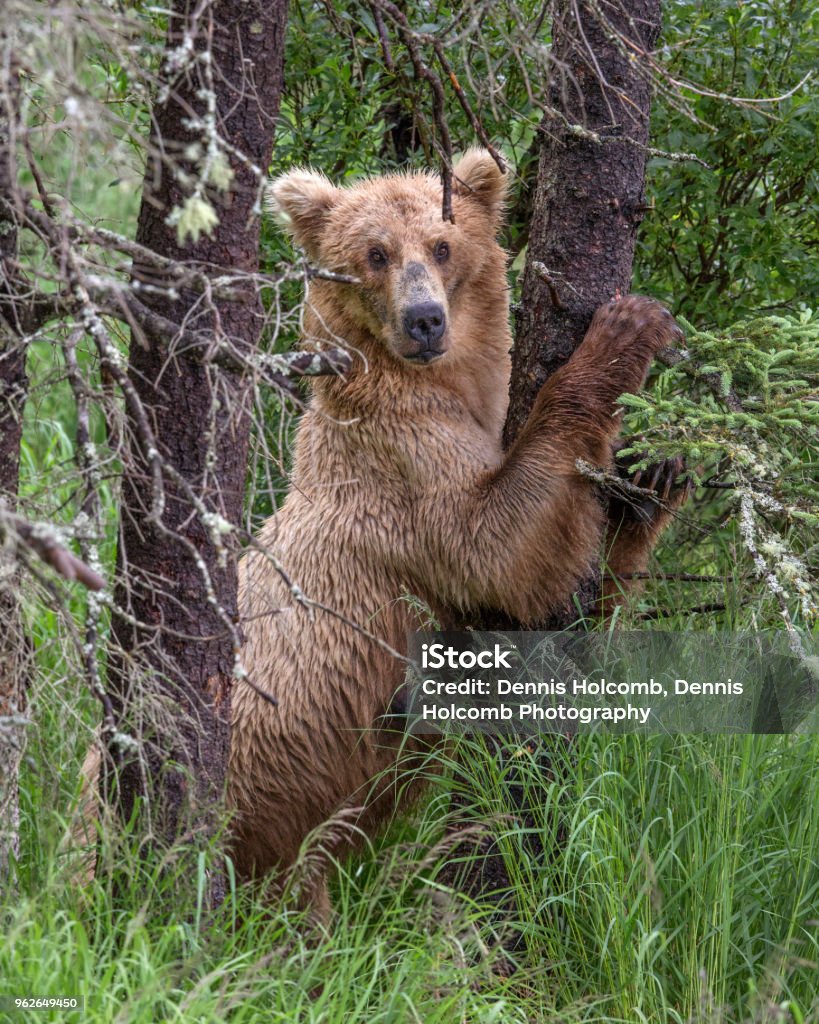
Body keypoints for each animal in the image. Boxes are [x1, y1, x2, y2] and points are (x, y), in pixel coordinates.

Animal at [227, 146, 679, 913]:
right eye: (375, 253)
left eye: (443, 244)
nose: (424, 320)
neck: (449, 390)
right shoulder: (402, 471)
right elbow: (503, 550)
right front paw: (627, 326)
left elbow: (590, 591)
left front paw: (656, 474)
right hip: (254, 769)